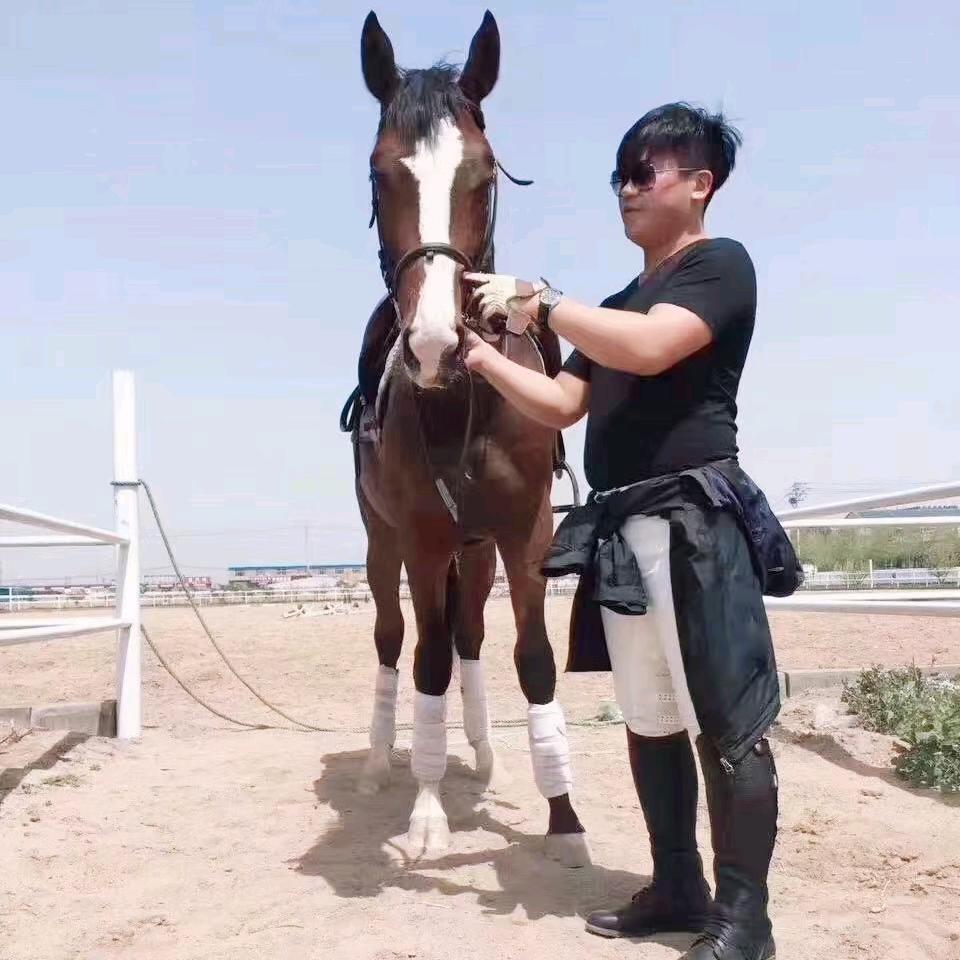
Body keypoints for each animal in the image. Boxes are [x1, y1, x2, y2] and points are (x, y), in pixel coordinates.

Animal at [348, 10, 590, 867]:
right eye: (380, 176)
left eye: (482, 178)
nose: (432, 345)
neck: (464, 403)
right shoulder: (421, 539)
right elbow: (423, 659)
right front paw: (425, 815)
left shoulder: (525, 533)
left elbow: (532, 658)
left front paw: (563, 814)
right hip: (382, 543)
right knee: (394, 640)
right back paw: (381, 761)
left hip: (476, 550)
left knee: (474, 639)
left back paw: (483, 752)